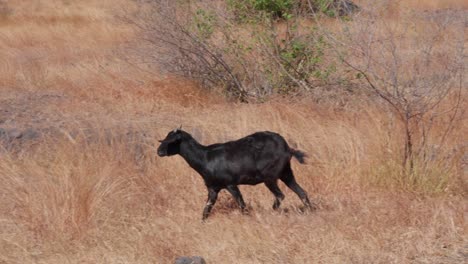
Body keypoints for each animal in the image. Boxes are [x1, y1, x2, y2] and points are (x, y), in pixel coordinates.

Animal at [158, 129, 314, 220]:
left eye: (171, 141)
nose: (159, 152)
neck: (205, 157)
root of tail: (288, 149)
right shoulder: (213, 188)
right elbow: (207, 208)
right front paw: (201, 222)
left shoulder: (230, 184)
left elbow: (241, 203)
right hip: (286, 173)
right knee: (302, 192)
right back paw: (311, 210)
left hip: (269, 177)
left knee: (280, 195)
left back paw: (272, 212)